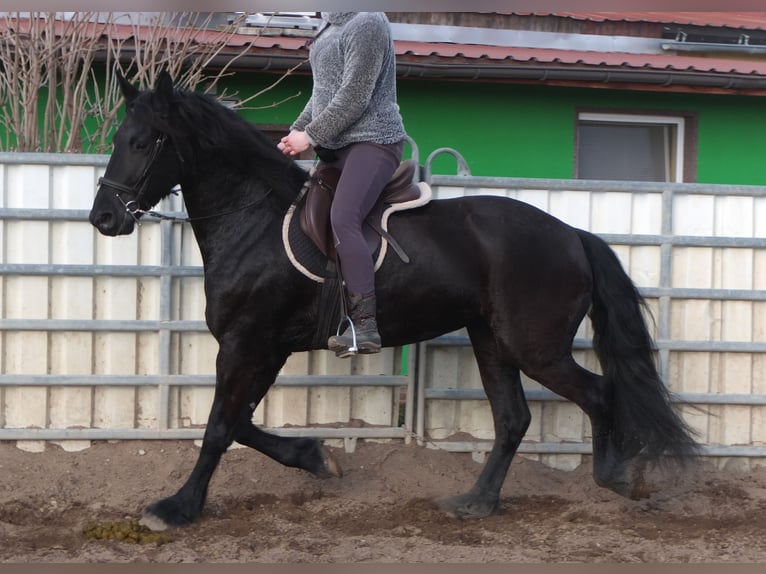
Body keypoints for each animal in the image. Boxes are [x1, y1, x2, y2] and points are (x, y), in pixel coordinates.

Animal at [90, 71, 704, 532]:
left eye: (142, 143)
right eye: (118, 140)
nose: (104, 218)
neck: (255, 222)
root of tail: (573, 234)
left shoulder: (247, 343)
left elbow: (220, 426)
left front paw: (178, 508)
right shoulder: (266, 347)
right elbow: (239, 422)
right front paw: (316, 458)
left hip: (535, 347)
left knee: (598, 393)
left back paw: (612, 477)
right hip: (492, 340)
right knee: (513, 418)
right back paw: (476, 502)